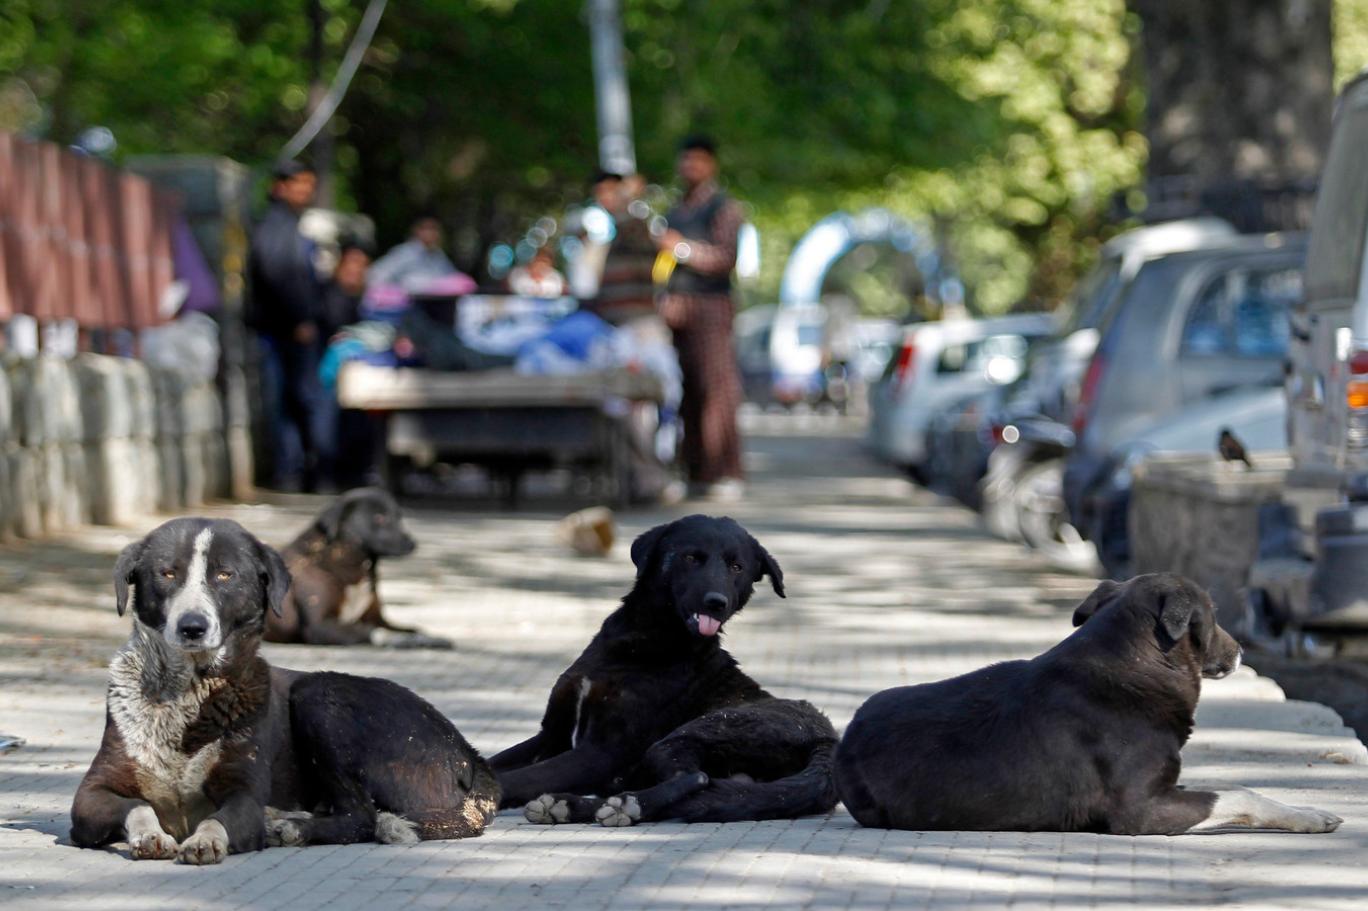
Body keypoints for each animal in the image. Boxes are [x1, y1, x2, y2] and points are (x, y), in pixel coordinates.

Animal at [69, 514, 497, 864]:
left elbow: (218, 820)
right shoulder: (90, 795)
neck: (189, 691)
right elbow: (138, 806)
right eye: (167, 574)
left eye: (225, 575)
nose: (192, 626)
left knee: (361, 816)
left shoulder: (244, 794)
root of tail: (470, 754)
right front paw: (151, 834)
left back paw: (290, 826)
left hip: (319, 695)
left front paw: (207, 840)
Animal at [487, 514, 837, 826]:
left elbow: (519, 778)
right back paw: (574, 807)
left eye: (737, 568)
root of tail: (827, 741)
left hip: (696, 732)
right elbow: (492, 762)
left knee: (695, 777)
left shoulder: (601, 753)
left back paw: (620, 806)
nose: (716, 603)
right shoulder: (551, 736)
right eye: (691, 557)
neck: (645, 642)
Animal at [831, 571, 1346, 831]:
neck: (1133, 664)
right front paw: (1306, 816)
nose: (1242, 652)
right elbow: (1240, 792)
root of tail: (843, 742)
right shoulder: (1139, 811)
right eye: (1214, 615)